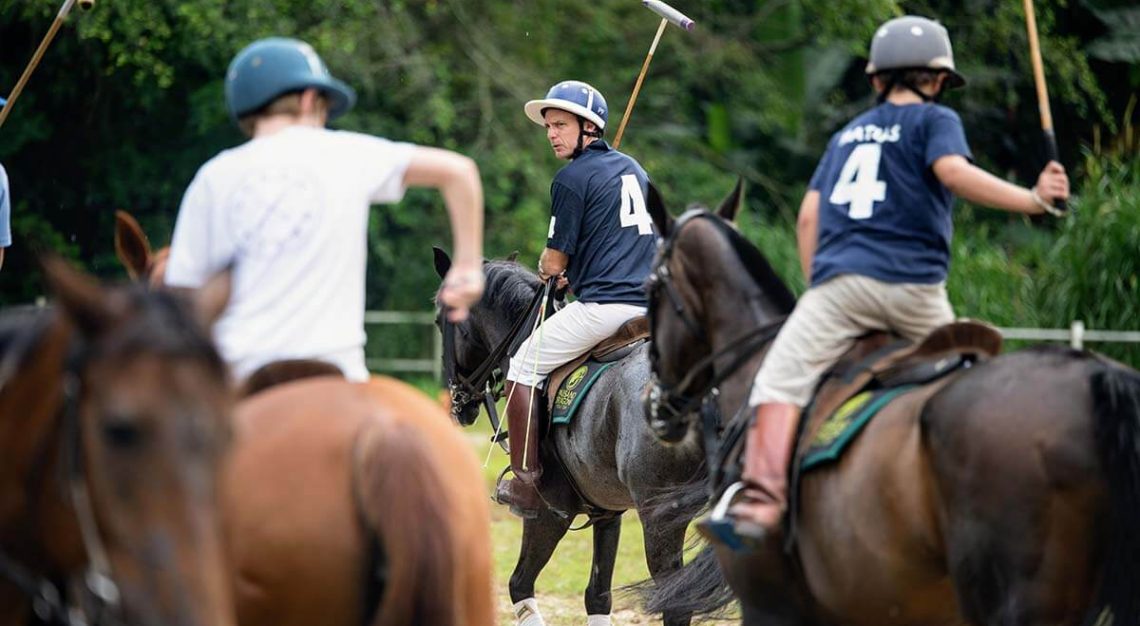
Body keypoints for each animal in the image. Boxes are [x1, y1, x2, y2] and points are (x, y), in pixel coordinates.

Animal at [433, 246, 702, 624]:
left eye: (439, 319)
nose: (456, 403)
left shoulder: (548, 511)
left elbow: (519, 584)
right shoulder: (607, 511)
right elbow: (598, 597)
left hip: (660, 520)